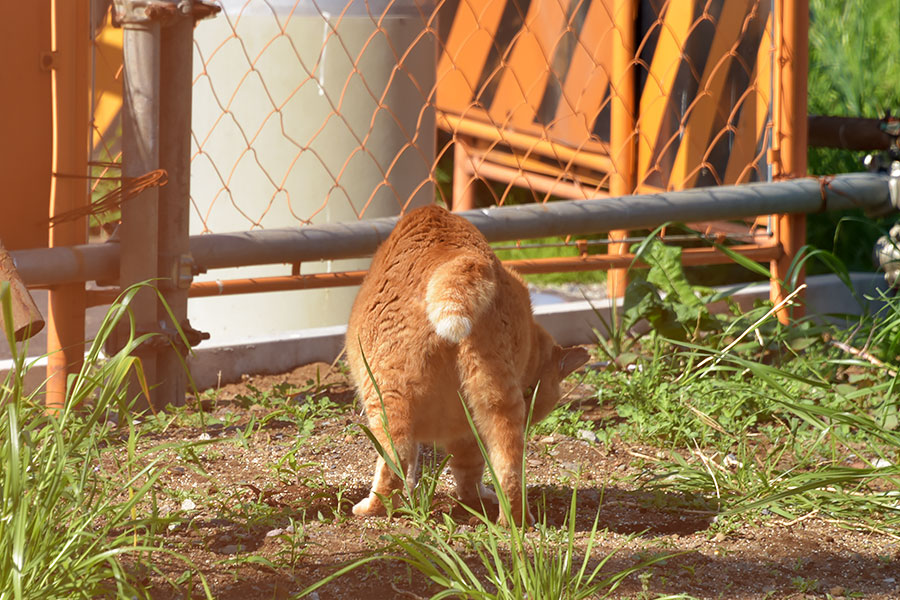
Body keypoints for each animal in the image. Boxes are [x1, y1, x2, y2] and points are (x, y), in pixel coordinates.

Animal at [346, 204, 592, 524]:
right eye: (529, 392)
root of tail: (461, 259)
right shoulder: (467, 432)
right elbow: (469, 469)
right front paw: (473, 497)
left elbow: (411, 466)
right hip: (496, 403)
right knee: (509, 470)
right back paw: (514, 522)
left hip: (388, 397)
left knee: (393, 460)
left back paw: (371, 509)